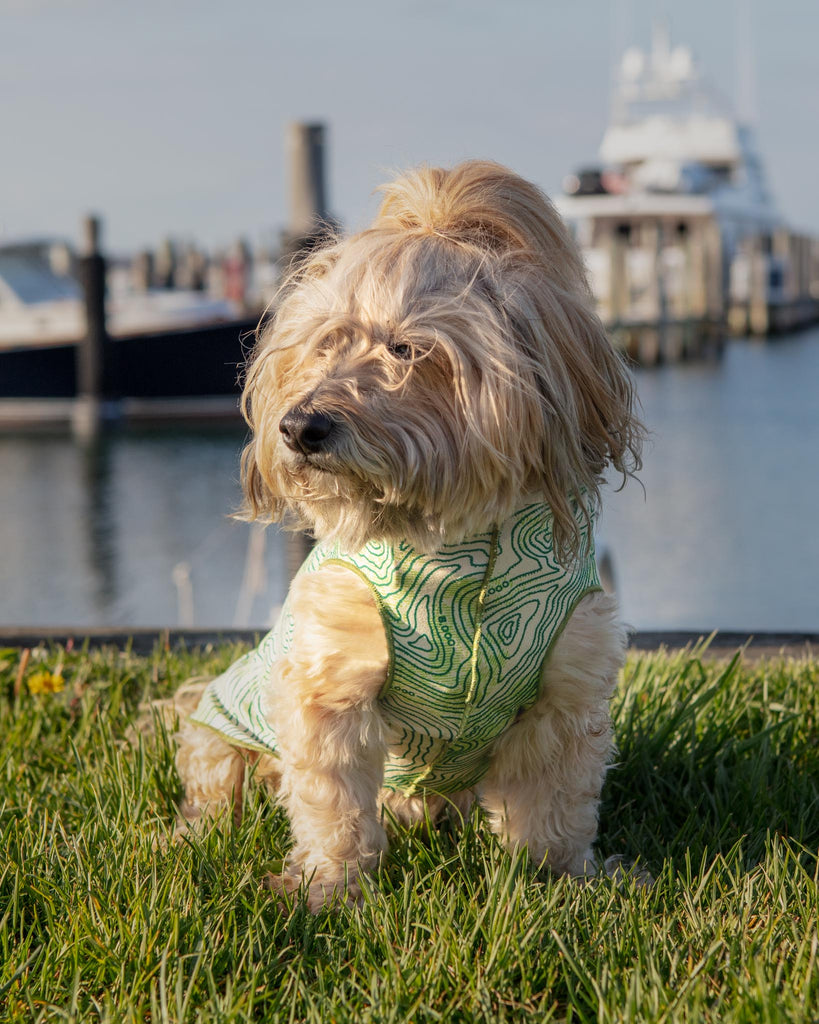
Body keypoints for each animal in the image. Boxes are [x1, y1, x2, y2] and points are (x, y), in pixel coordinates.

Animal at [173, 161, 642, 913]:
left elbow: (556, 805)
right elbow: (332, 802)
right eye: (326, 341)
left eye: (406, 348)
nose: (299, 427)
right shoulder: (330, 682)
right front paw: (329, 890)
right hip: (224, 729)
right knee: (219, 787)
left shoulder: (566, 691)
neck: (461, 560)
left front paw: (562, 881)